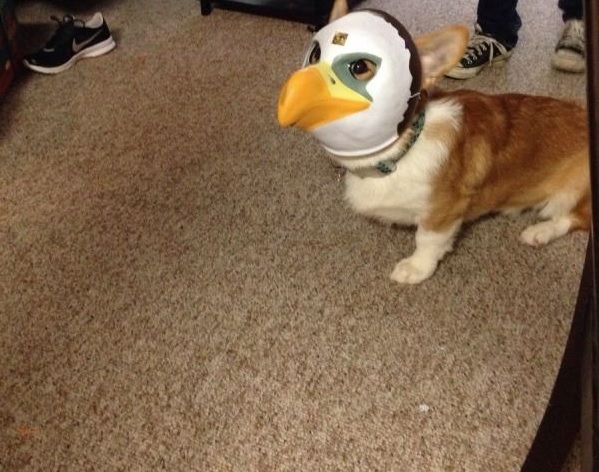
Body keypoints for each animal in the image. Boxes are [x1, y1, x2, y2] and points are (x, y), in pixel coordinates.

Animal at [278, 7, 592, 284]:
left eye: (360, 67)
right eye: (315, 54)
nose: (293, 93)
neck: (400, 153)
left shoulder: (444, 212)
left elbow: (427, 239)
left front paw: (415, 268)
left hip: (574, 192)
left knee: (574, 218)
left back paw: (539, 232)